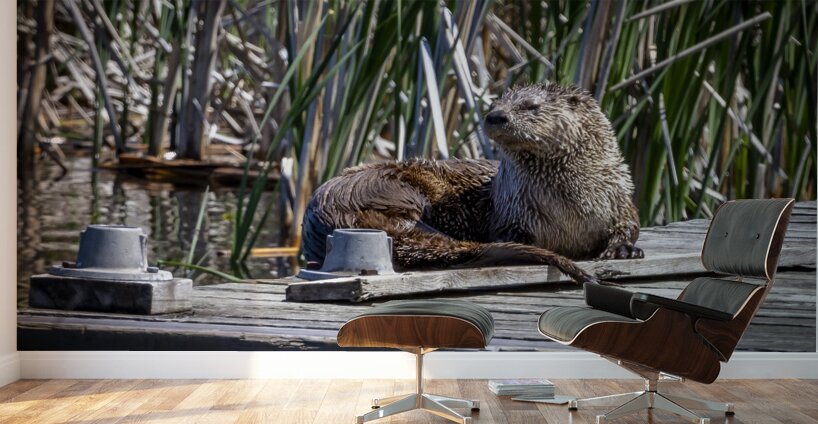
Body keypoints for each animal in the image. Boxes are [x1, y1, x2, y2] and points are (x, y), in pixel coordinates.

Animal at [301, 83, 642, 284]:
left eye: (531, 106)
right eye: (496, 102)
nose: (496, 116)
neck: (570, 207)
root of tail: (333, 210)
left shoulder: (621, 197)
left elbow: (630, 225)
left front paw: (623, 249)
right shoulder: (513, 213)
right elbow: (508, 235)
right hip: (395, 187)